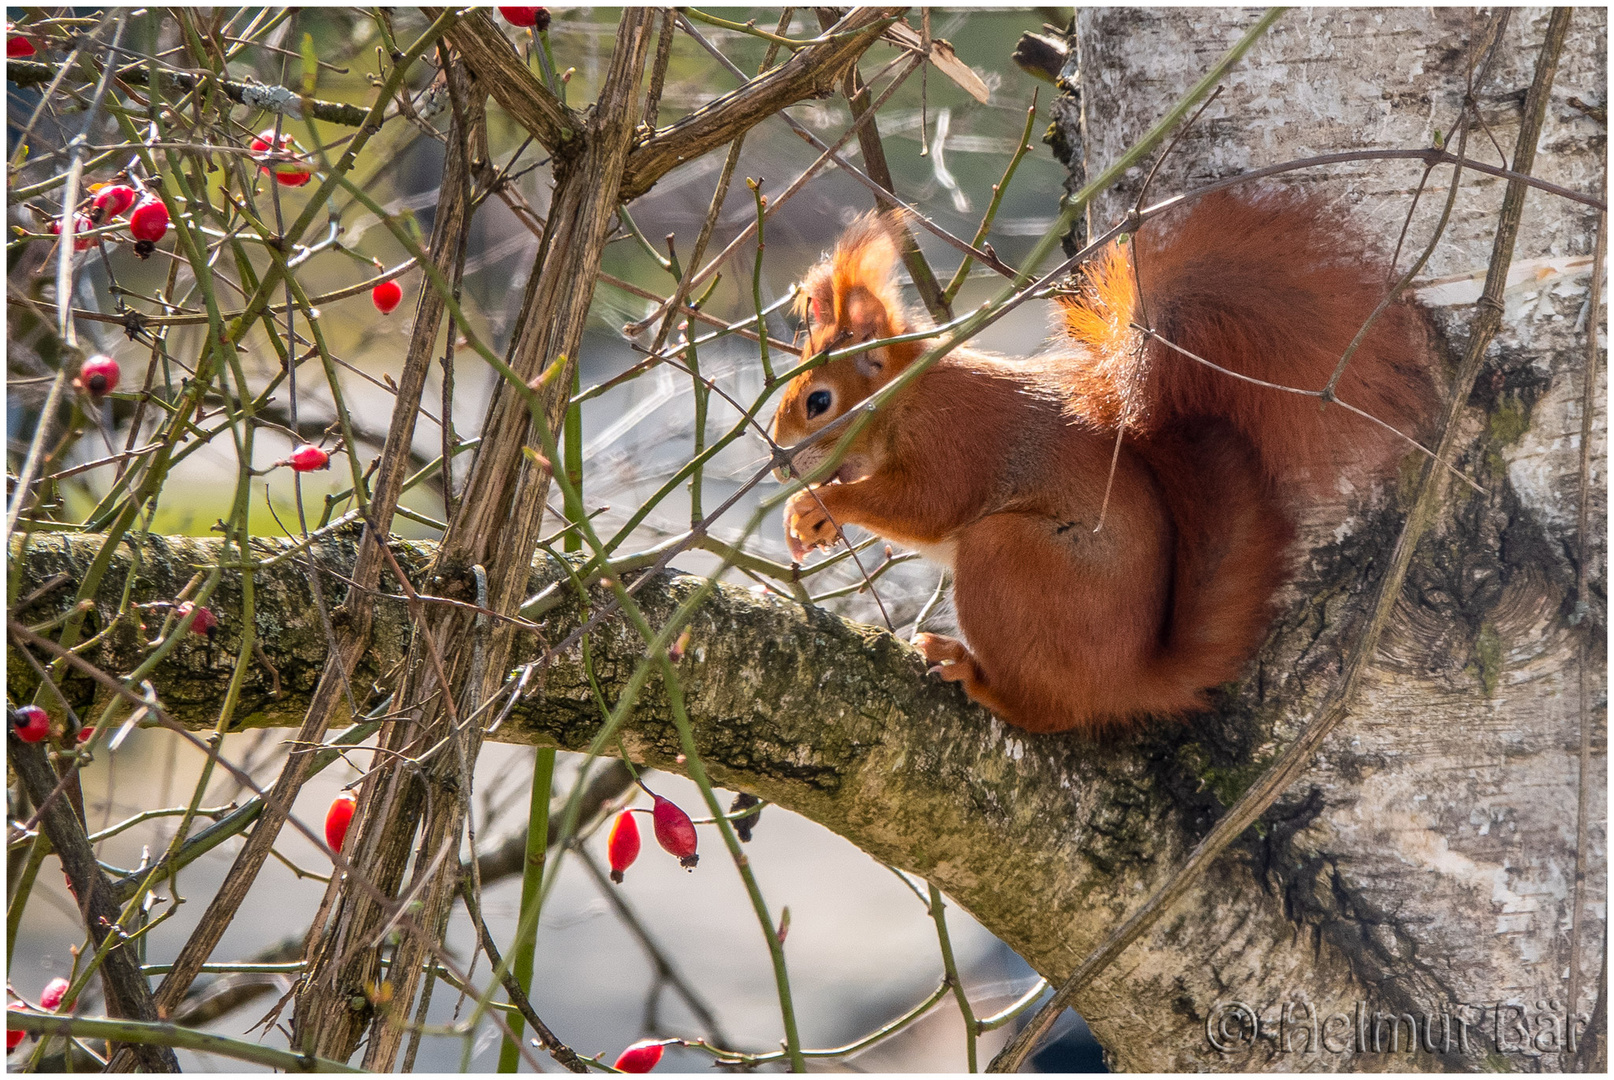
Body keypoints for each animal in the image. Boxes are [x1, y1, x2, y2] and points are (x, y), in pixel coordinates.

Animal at [771, 191, 1439, 732]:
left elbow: (925, 505)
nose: (778, 465)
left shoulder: (951, 441)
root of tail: (1128, 677)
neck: (904, 396)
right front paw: (804, 524)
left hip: (1009, 559)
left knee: (1049, 712)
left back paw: (972, 673)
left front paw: (821, 504)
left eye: (819, 401)